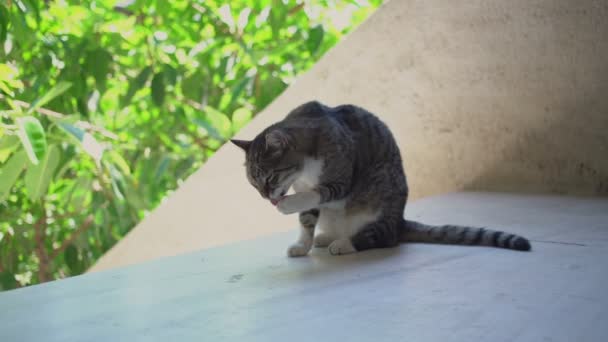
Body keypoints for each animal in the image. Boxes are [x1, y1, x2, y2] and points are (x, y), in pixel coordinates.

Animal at [230, 101, 528, 256]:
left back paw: (345, 244)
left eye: (269, 178)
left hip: (383, 188)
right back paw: (325, 238)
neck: (305, 173)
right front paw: (302, 245)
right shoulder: (308, 191)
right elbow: (306, 219)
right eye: (254, 185)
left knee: (382, 237)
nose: (266, 198)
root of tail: (400, 221)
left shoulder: (340, 179)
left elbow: (315, 194)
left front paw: (288, 205)